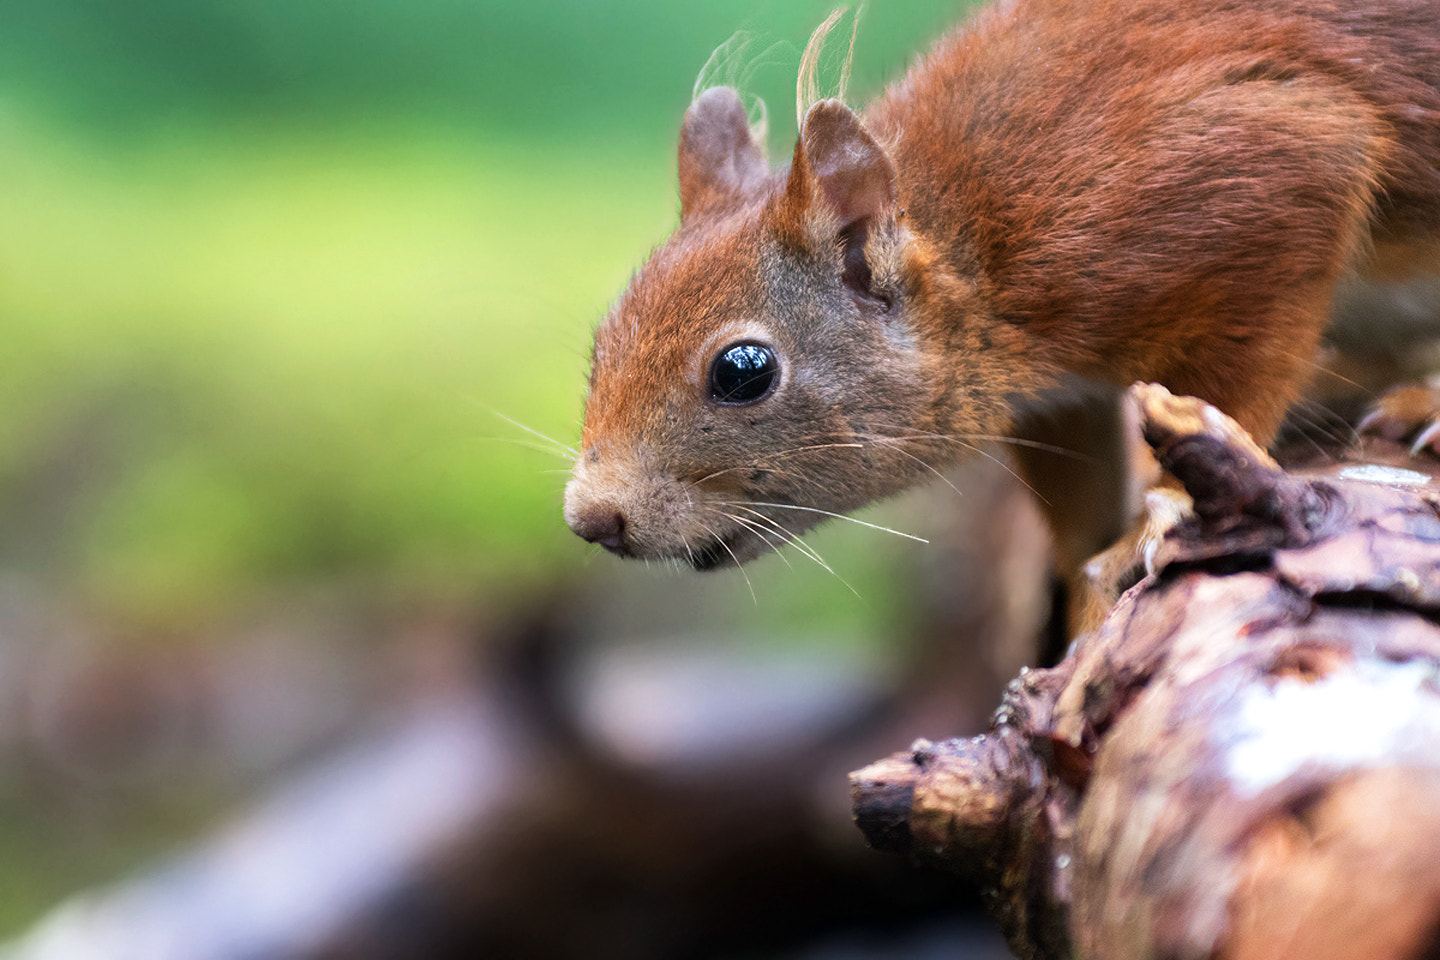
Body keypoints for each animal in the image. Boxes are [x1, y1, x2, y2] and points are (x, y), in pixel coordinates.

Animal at [561, 0, 1440, 592]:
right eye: (600, 345)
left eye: (742, 371)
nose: (590, 519)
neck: (978, 251)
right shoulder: (1059, 397)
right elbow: (1079, 512)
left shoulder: (1266, 174)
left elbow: (1234, 391)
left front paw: (1166, 508)